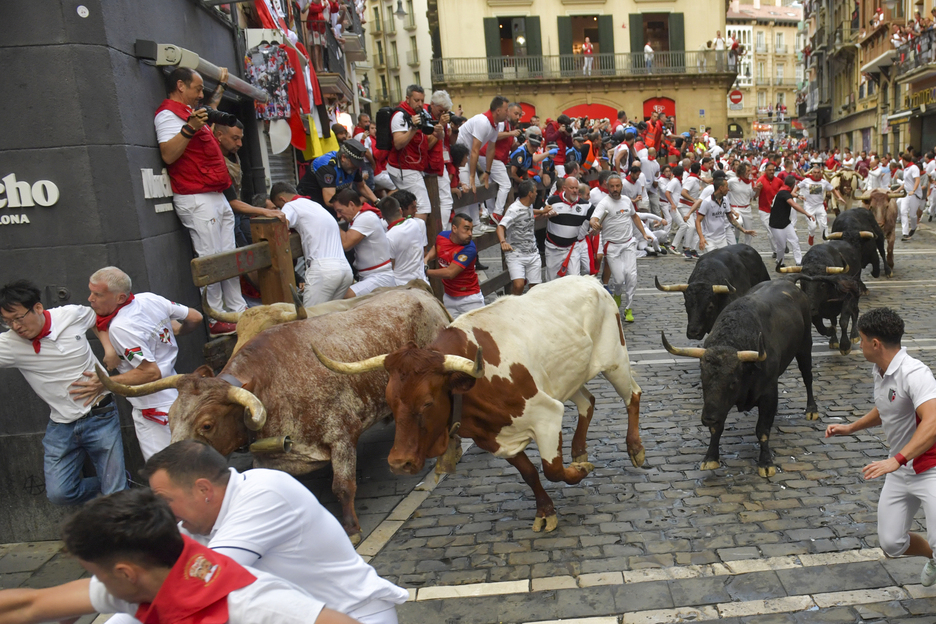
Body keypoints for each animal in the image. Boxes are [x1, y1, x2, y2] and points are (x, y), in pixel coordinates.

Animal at [95, 286, 450, 540]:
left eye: (207, 425)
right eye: (168, 419)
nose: (162, 474)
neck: (271, 383)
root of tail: (421, 293)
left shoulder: (341, 436)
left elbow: (342, 486)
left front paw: (351, 529)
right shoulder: (271, 458)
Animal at [308, 276, 644, 532]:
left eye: (428, 402)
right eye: (390, 401)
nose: (398, 462)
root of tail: (590, 280)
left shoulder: (547, 415)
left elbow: (552, 469)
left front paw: (580, 472)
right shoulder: (494, 436)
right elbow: (530, 473)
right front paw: (546, 511)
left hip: (615, 360)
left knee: (633, 396)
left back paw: (634, 448)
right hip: (568, 376)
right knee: (589, 401)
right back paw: (579, 449)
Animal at [660, 280, 820, 478]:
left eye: (733, 382)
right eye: (703, 379)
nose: (707, 418)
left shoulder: (768, 393)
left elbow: (762, 430)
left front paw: (766, 463)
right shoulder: (718, 406)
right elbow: (718, 427)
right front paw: (711, 457)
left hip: (805, 345)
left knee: (807, 376)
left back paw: (811, 409)